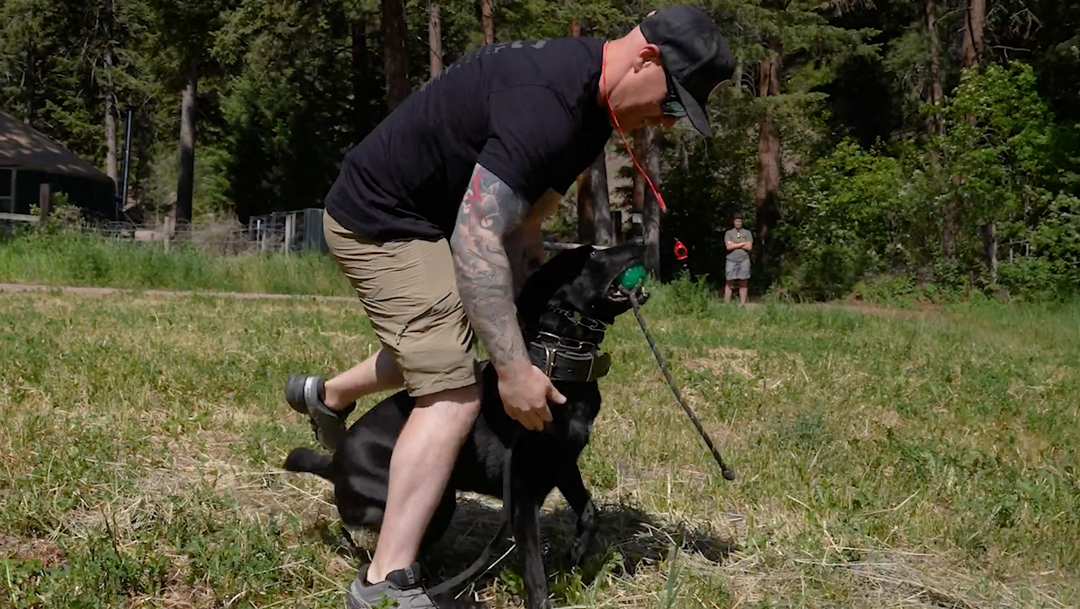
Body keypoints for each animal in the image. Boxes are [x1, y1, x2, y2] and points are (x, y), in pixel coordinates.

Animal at [283, 242, 648, 608]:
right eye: (592, 255)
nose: (640, 245)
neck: (555, 362)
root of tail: (334, 461)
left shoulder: (563, 463)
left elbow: (588, 511)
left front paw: (577, 553)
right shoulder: (523, 494)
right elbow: (534, 569)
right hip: (433, 500)